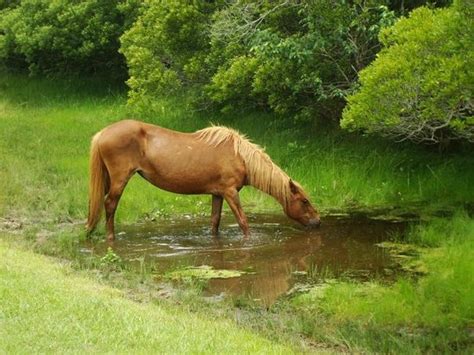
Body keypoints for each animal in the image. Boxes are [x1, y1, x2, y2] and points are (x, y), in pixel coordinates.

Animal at [86, 120, 320, 242]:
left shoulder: (217, 194)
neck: (240, 156)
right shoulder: (230, 192)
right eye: (305, 201)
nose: (318, 222)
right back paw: (110, 238)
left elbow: (215, 222)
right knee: (110, 205)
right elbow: (243, 222)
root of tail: (102, 133)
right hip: (119, 180)